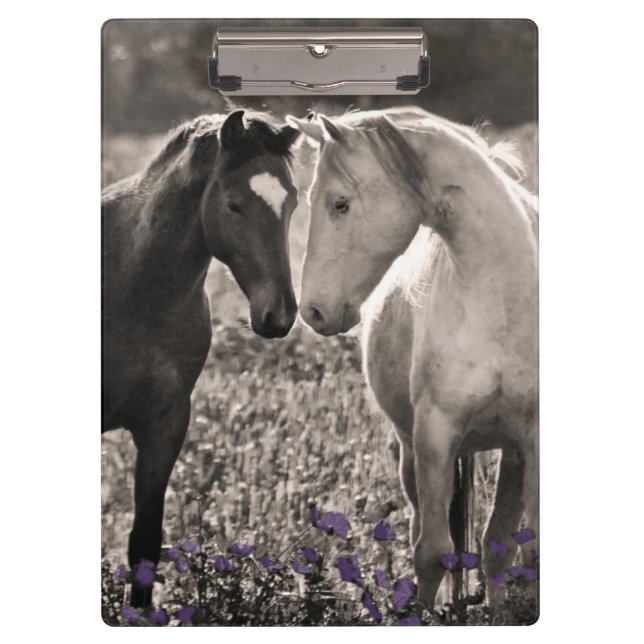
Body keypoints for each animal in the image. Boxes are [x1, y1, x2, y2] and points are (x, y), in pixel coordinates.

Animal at [287, 107, 538, 610]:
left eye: (339, 204)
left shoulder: (529, 439)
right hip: (410, 451)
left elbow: (506, 547)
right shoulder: (435, 433)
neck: (503, 296)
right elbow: (432, 553)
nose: (314, 311)